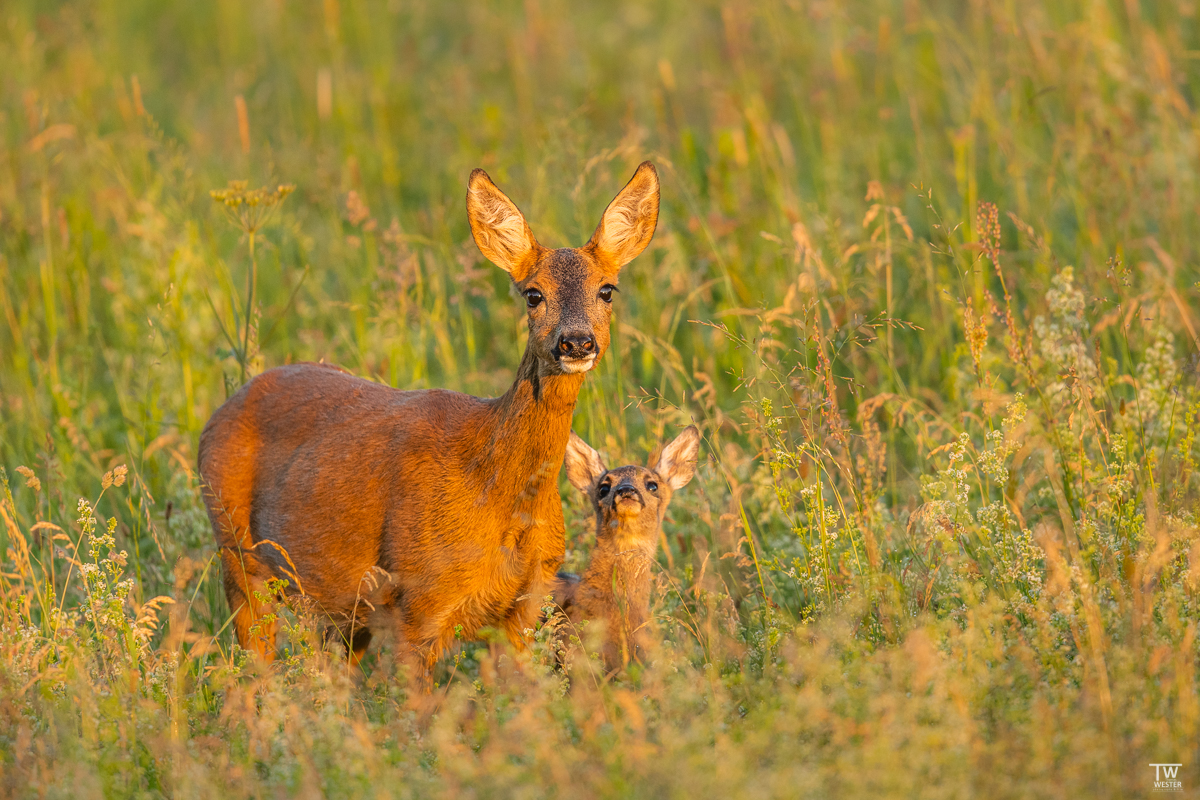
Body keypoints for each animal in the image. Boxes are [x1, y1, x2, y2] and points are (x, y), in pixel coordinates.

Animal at [200, 160, 662, 676]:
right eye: (532, 294)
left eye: (607, 290)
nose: (576, 342)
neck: (498, 493)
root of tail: (226, 405)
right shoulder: (420, 599)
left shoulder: (527, 604)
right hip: (235, 549)